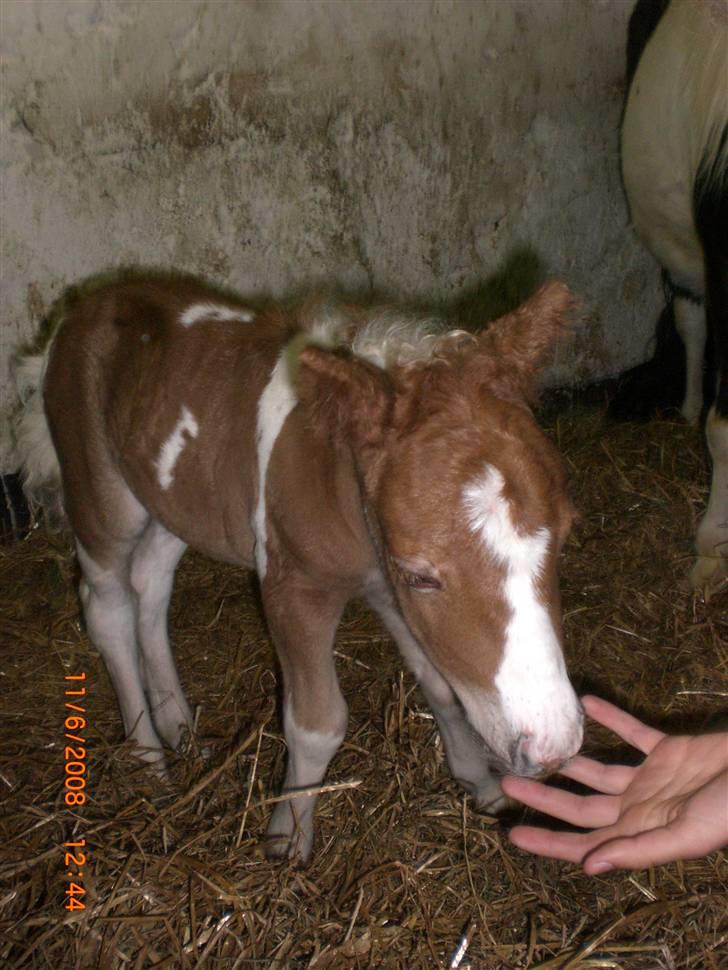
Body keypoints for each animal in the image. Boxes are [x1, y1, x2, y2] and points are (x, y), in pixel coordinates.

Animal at [15, 272, 584, 856]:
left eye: (565, 537)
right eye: (421, 575)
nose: (552, 747)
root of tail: (77, 312)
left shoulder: (387, 591)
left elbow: (442, 684)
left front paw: (481, 784)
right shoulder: (296, 587)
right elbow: (317, 724)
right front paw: (287, 837)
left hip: (177, 500)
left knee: (150, 583)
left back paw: (180, 728)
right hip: (102, 495)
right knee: (107, 606)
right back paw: (149, 761)